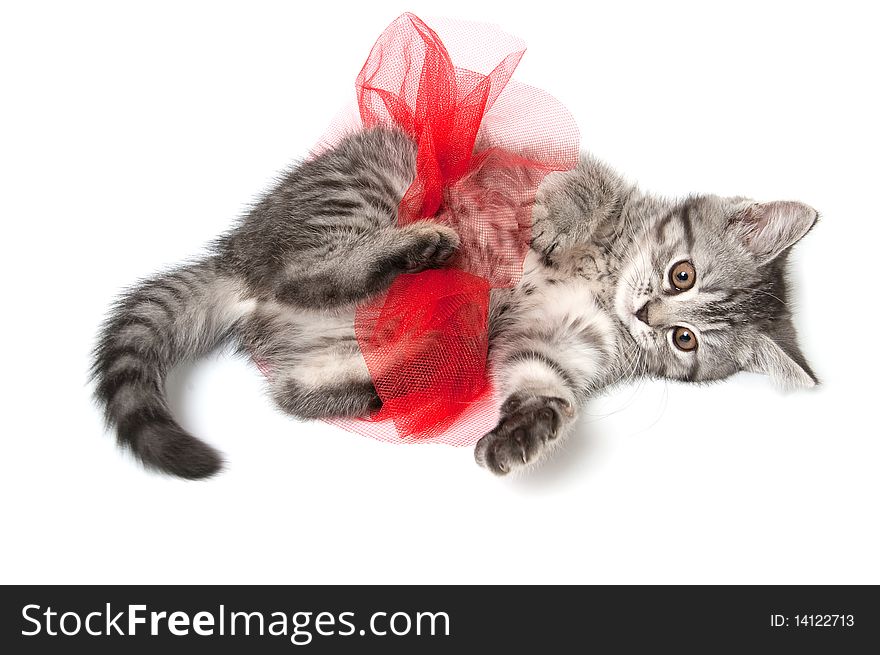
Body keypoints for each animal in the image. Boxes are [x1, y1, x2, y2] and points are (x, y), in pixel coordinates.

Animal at [91, 128, 820, 480]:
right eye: (681, 274)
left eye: (685, 341)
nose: (647, 316)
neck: (608, 281)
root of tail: (240, 259)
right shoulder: (557, 170)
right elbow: (575, 186)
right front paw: (555, 221)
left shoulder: (556, 340)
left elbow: (542, 380)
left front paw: (525, 429)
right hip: (377, 178)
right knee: (305, 271)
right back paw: (421, 244)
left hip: (347, 338)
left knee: (294, 383)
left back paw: (392, 378)